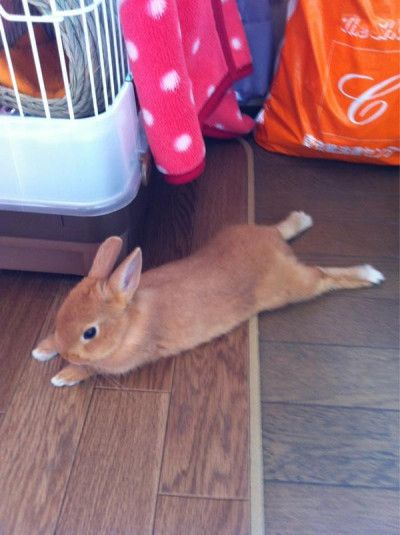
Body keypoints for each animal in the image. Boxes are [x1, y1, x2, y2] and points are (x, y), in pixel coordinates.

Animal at [32, 211, 384, 388]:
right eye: (61, 311)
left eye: (90, 332)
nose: (66, 351)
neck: (130, 320)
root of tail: (276, 246)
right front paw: (42, 350)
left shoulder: (123, 362)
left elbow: (91, 369)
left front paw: (63, 376)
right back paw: (302, 219)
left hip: (292, 287)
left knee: (324, 277)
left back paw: (369, 274)